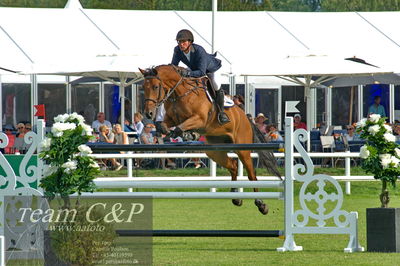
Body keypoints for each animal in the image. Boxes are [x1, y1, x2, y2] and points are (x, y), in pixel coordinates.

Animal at [139, 65, 280, 216]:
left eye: (155, 86)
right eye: (144, 87)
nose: (148, 113)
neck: (179, 94)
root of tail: (246, 117)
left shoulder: (199, 119)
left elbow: (180, 127)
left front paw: (189, 134)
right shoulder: (171, 119)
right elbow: (164, 126)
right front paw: (183, 134)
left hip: (242, 149)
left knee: (251, 175)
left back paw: (261, 203)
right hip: (215, 151)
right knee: (233, 165)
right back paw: (236, 197)